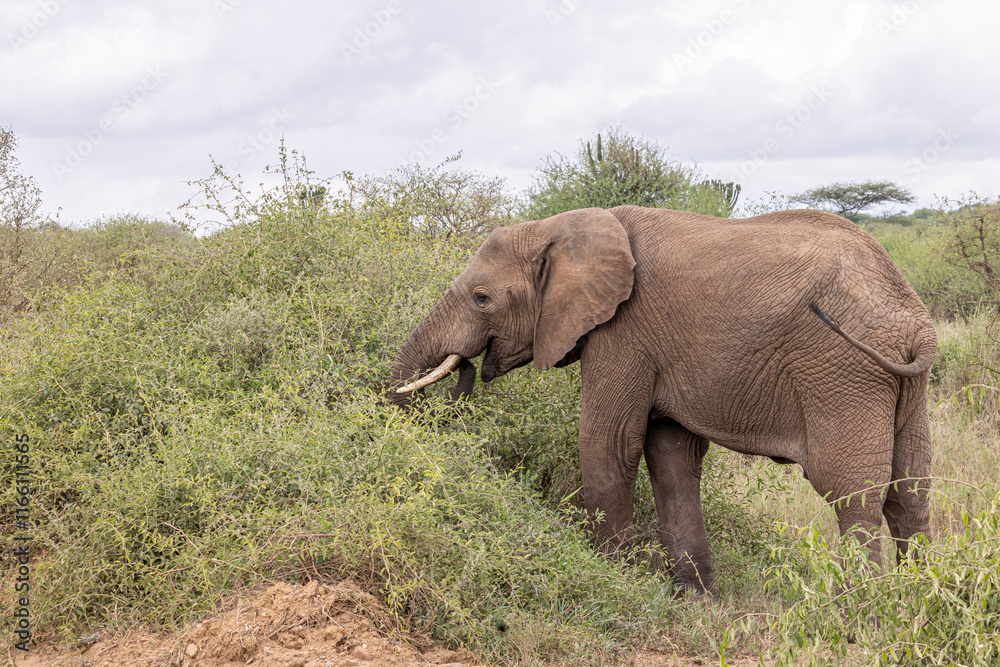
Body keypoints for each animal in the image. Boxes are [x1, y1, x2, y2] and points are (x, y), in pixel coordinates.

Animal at [389, 205, 936, 595]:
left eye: (482, 298)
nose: (467, 368)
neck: (560, 227)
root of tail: (917, 320)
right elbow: (671, 456)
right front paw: (696, 599)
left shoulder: (623, 331)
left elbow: (608, 442)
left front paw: (611, 578)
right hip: (903, 387)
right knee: (910, 492)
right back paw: (920, 602)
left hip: (844, 373)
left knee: (853, 494)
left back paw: (861, 611)